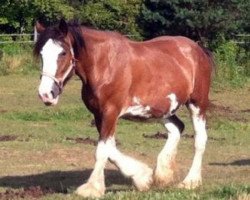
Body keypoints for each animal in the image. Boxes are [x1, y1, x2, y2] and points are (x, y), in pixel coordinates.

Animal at [33, 19, 213, 198]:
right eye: (41, 53)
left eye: (63, 53)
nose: (46, 94)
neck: (105, 64)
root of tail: (198, 49)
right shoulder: (99, 115)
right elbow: (110, 149)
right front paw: (143, 177)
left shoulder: (110, 112)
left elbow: (102, 150)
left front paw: (92, 188)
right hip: (163, 109)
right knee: (177, 128)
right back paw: (162, 175)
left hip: (197, 104)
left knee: (199, 139)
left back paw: (190, 181)